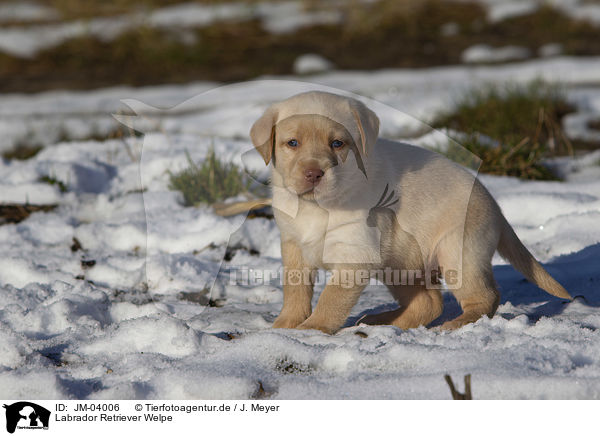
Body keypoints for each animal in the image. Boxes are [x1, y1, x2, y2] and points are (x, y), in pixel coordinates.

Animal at [250, 91, 572, 334]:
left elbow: (332, 298)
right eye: (292, 143)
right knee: (428, 303)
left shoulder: (355, 254)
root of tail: (496, 207)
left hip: (458, 253)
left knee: (484, 298)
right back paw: (381, 322)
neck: (317, 207)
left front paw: (312, 329)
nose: (314, 173)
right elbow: (295, 290)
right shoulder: (293, 245)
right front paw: (286, 323)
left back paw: (454, 325)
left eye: (337, 143)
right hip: (400, 262)